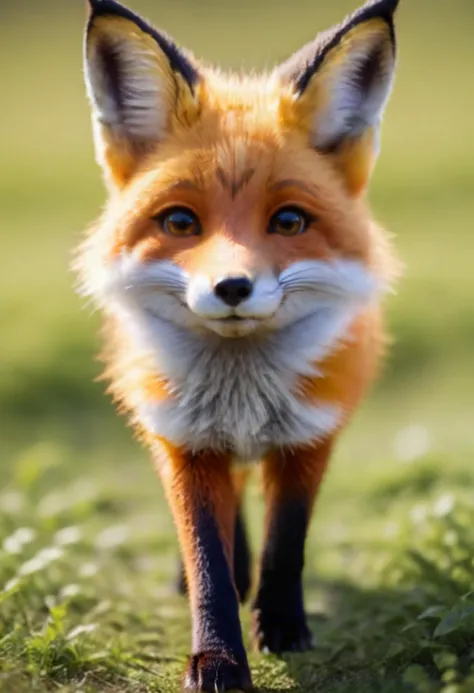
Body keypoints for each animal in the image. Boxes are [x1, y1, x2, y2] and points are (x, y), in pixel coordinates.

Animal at [77, 0, 400, 688]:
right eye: (179, 221)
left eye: (289, 221)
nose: (231, 286)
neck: (241, 395)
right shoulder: (183, 443)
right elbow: (209, 563)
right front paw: (218, 658)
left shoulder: (309, 436)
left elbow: (287, 543)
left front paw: (282, 627)